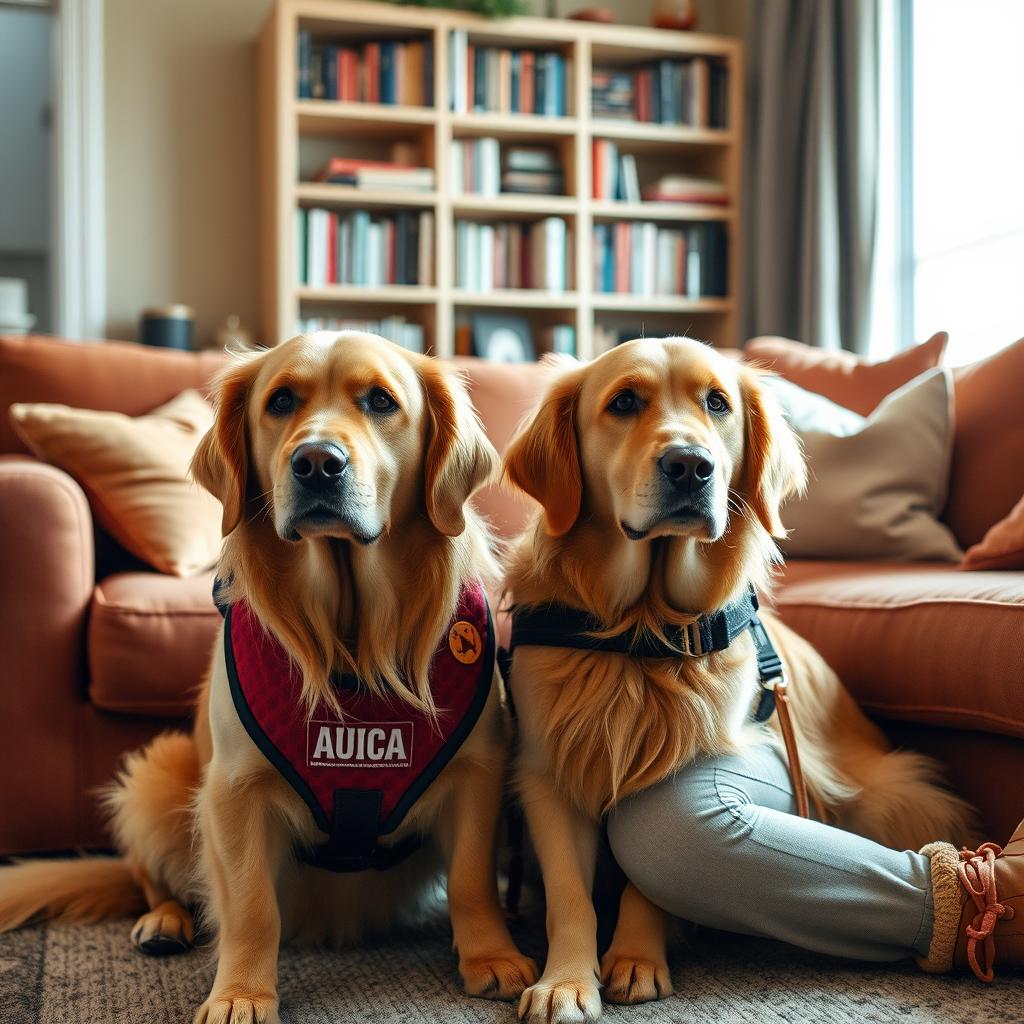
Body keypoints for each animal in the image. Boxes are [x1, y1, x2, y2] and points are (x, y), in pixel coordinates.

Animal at [0, 333, 540, 1024]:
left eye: (380, 401)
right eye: (280, 401)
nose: (317, 463)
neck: (351, 638)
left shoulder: (477, 772)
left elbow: (473, 881)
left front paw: (491, 957)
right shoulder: (236, 791)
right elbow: (252, 907)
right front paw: (241, 995)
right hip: (158, 774)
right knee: (152, 879)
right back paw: (165, 922)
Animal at [499, 337, 970, 1024]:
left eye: (717, 403)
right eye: (624, 402)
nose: (690, 466)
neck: (645, 628)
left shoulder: (679, 758)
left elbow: (651, 877)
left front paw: (637, 957)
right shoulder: (548, 770)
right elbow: (567, 895)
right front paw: (565, 981)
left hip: (895, 794)